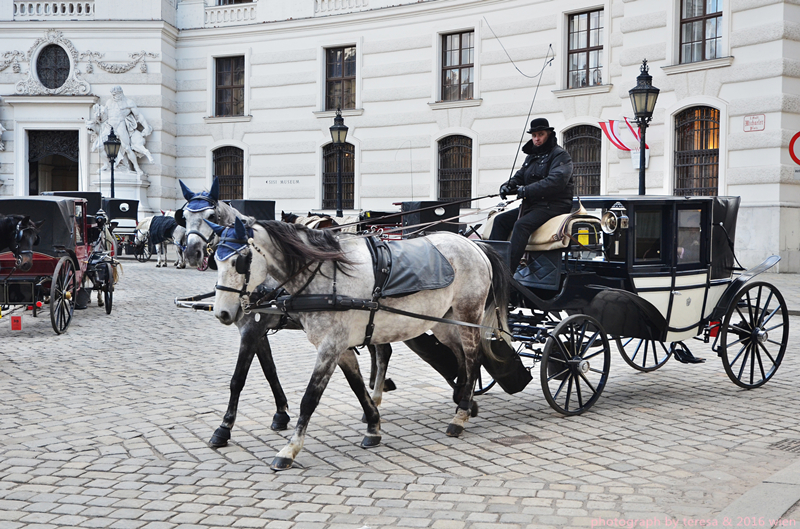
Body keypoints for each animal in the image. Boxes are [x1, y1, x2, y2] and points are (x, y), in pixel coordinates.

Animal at [208, 217, 506, 468]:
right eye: (216, 260)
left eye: (240, 261)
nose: (222, 313)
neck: (327, 279)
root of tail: (474, 244)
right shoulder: (339, 348)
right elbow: (357, 386)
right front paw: (373, 426)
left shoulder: (328, 347)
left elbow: (309, 398)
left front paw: (289, 449)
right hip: (444, 321)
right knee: (460, 358)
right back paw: (464, 402)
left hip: (468, 314)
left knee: (473, 358)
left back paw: (460, 415)